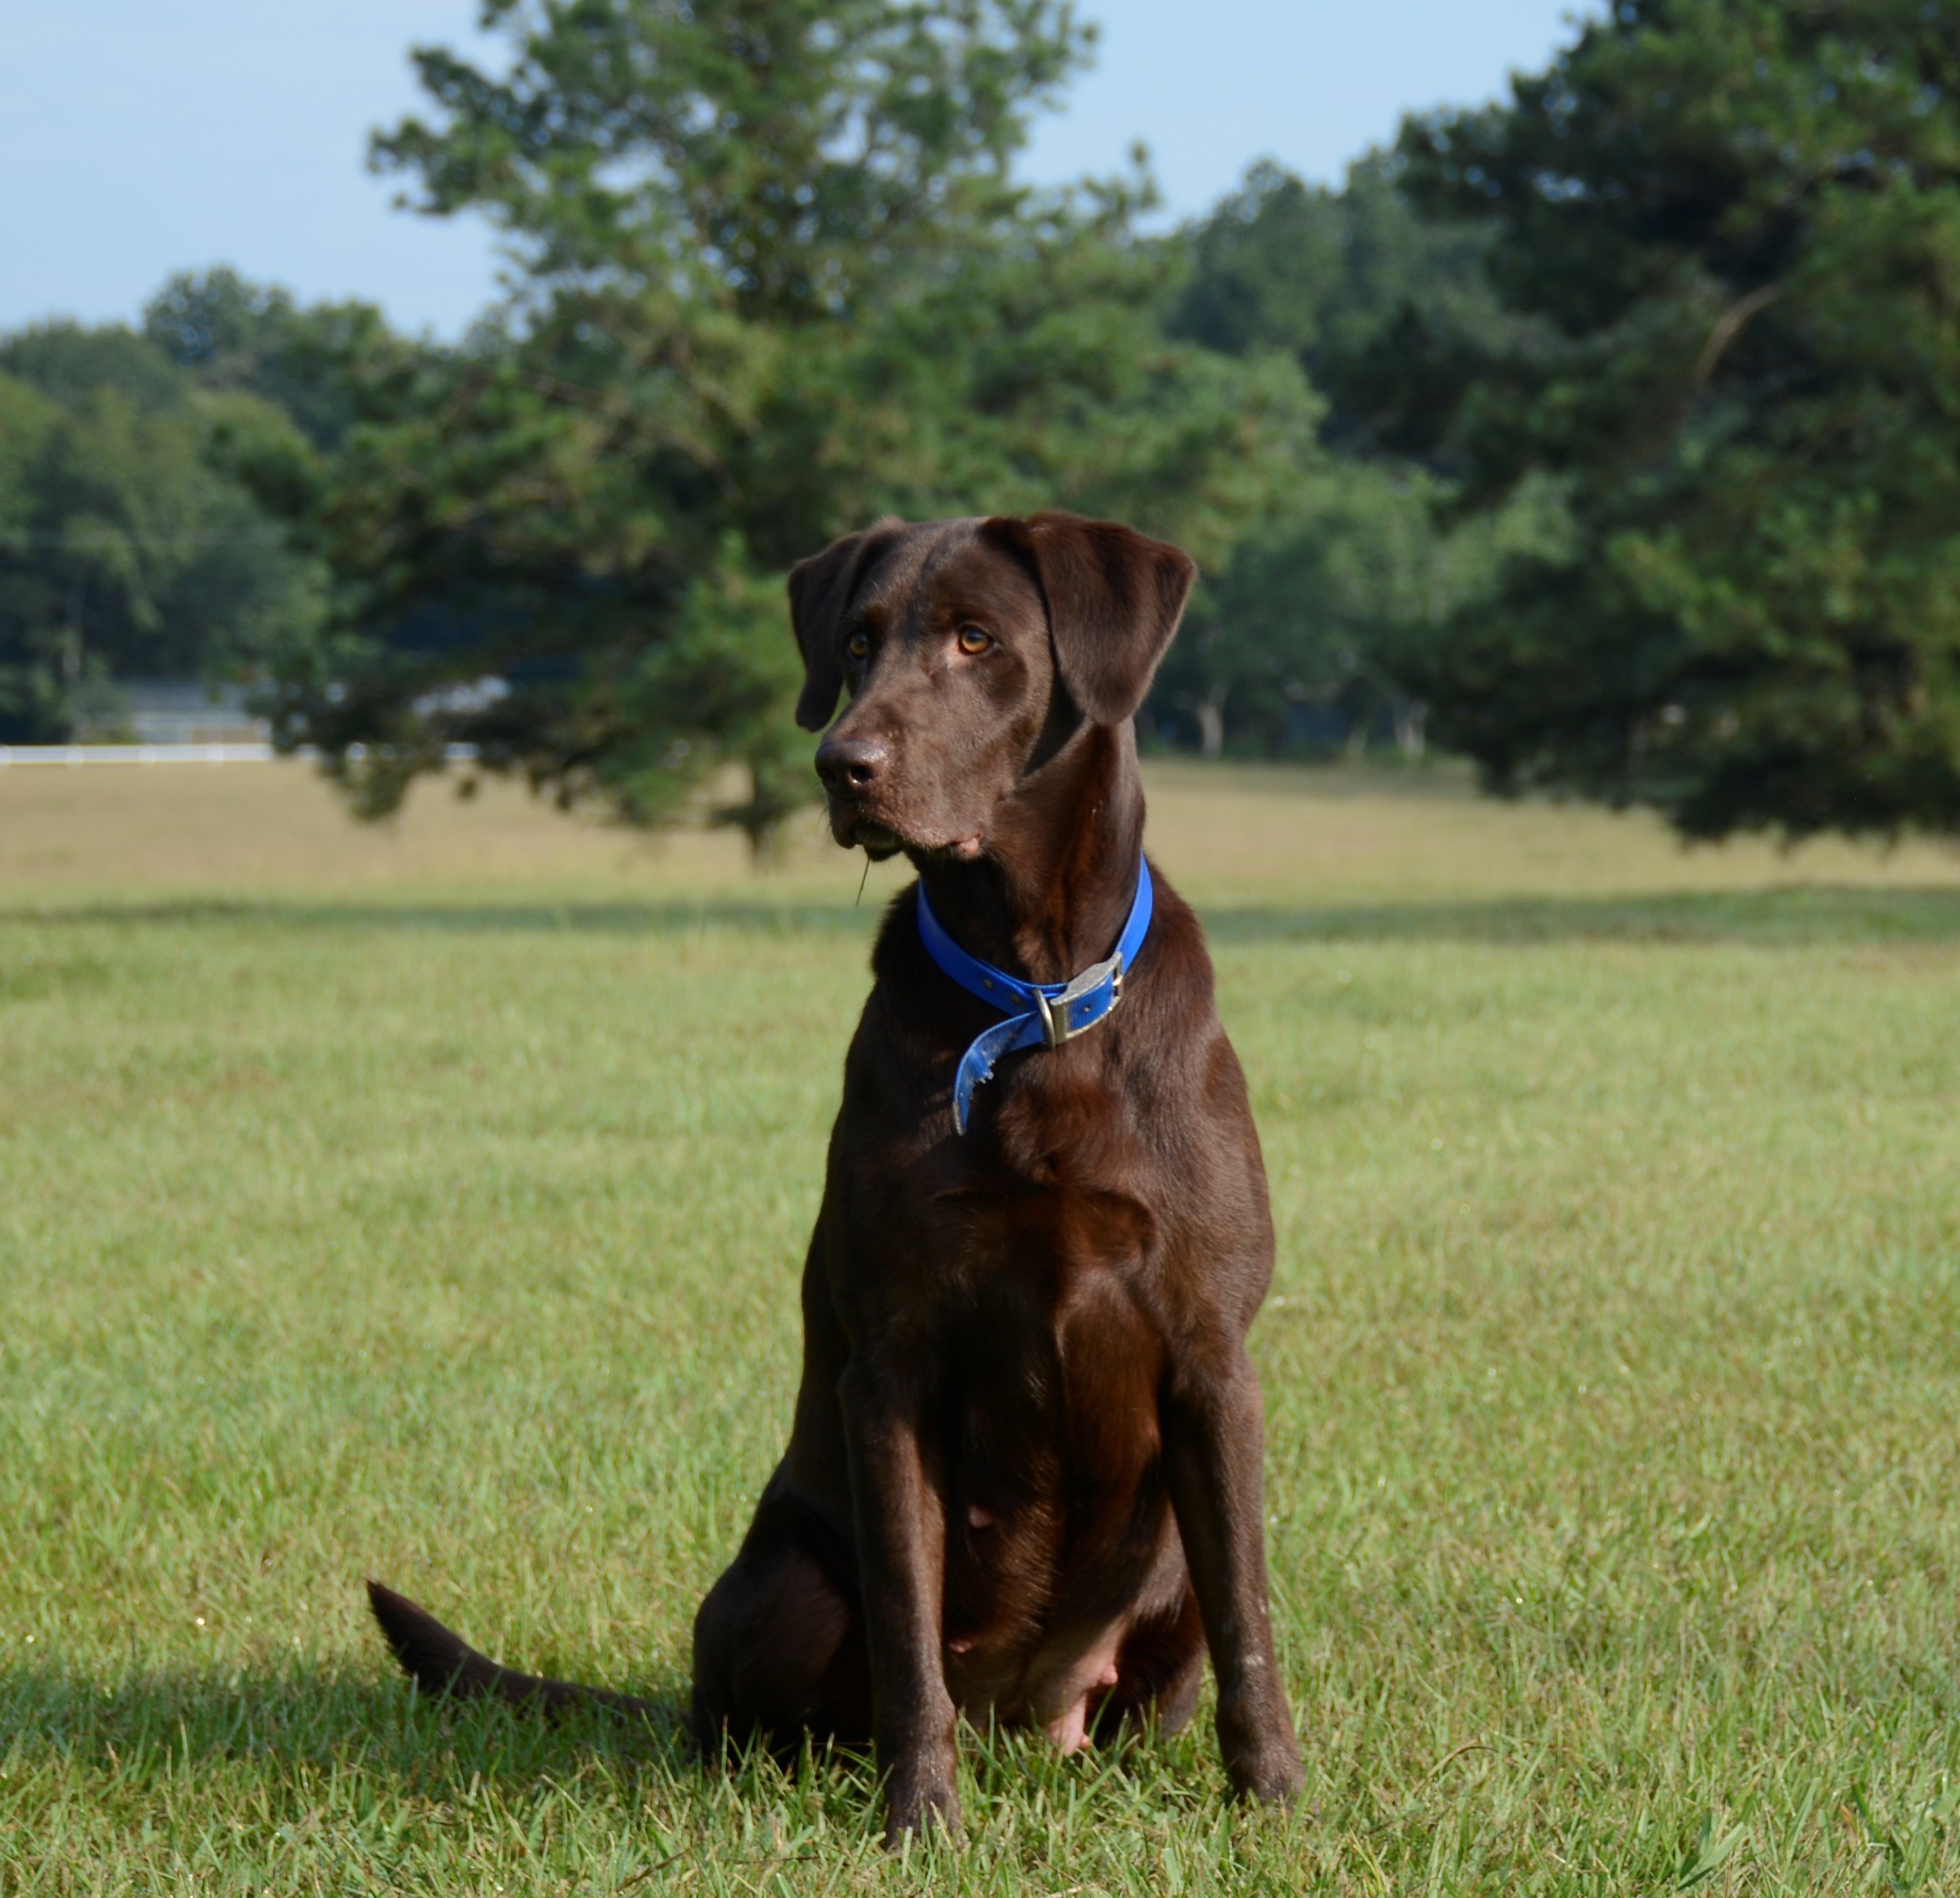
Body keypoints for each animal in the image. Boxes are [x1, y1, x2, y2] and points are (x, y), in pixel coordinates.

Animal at [368, 513, 1301, 1833]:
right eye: (856, 644)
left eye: (976, 639)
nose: (837, 763)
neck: (1030, 998)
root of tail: (1018, 1721)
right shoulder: (891, 1365)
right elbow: (909, 1628)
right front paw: (921, 1820)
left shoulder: (1210, 1358)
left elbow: (1247, 1619)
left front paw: (1274, 1798)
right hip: (781, 1589)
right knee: (753, 1713)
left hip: (1154, 1570)